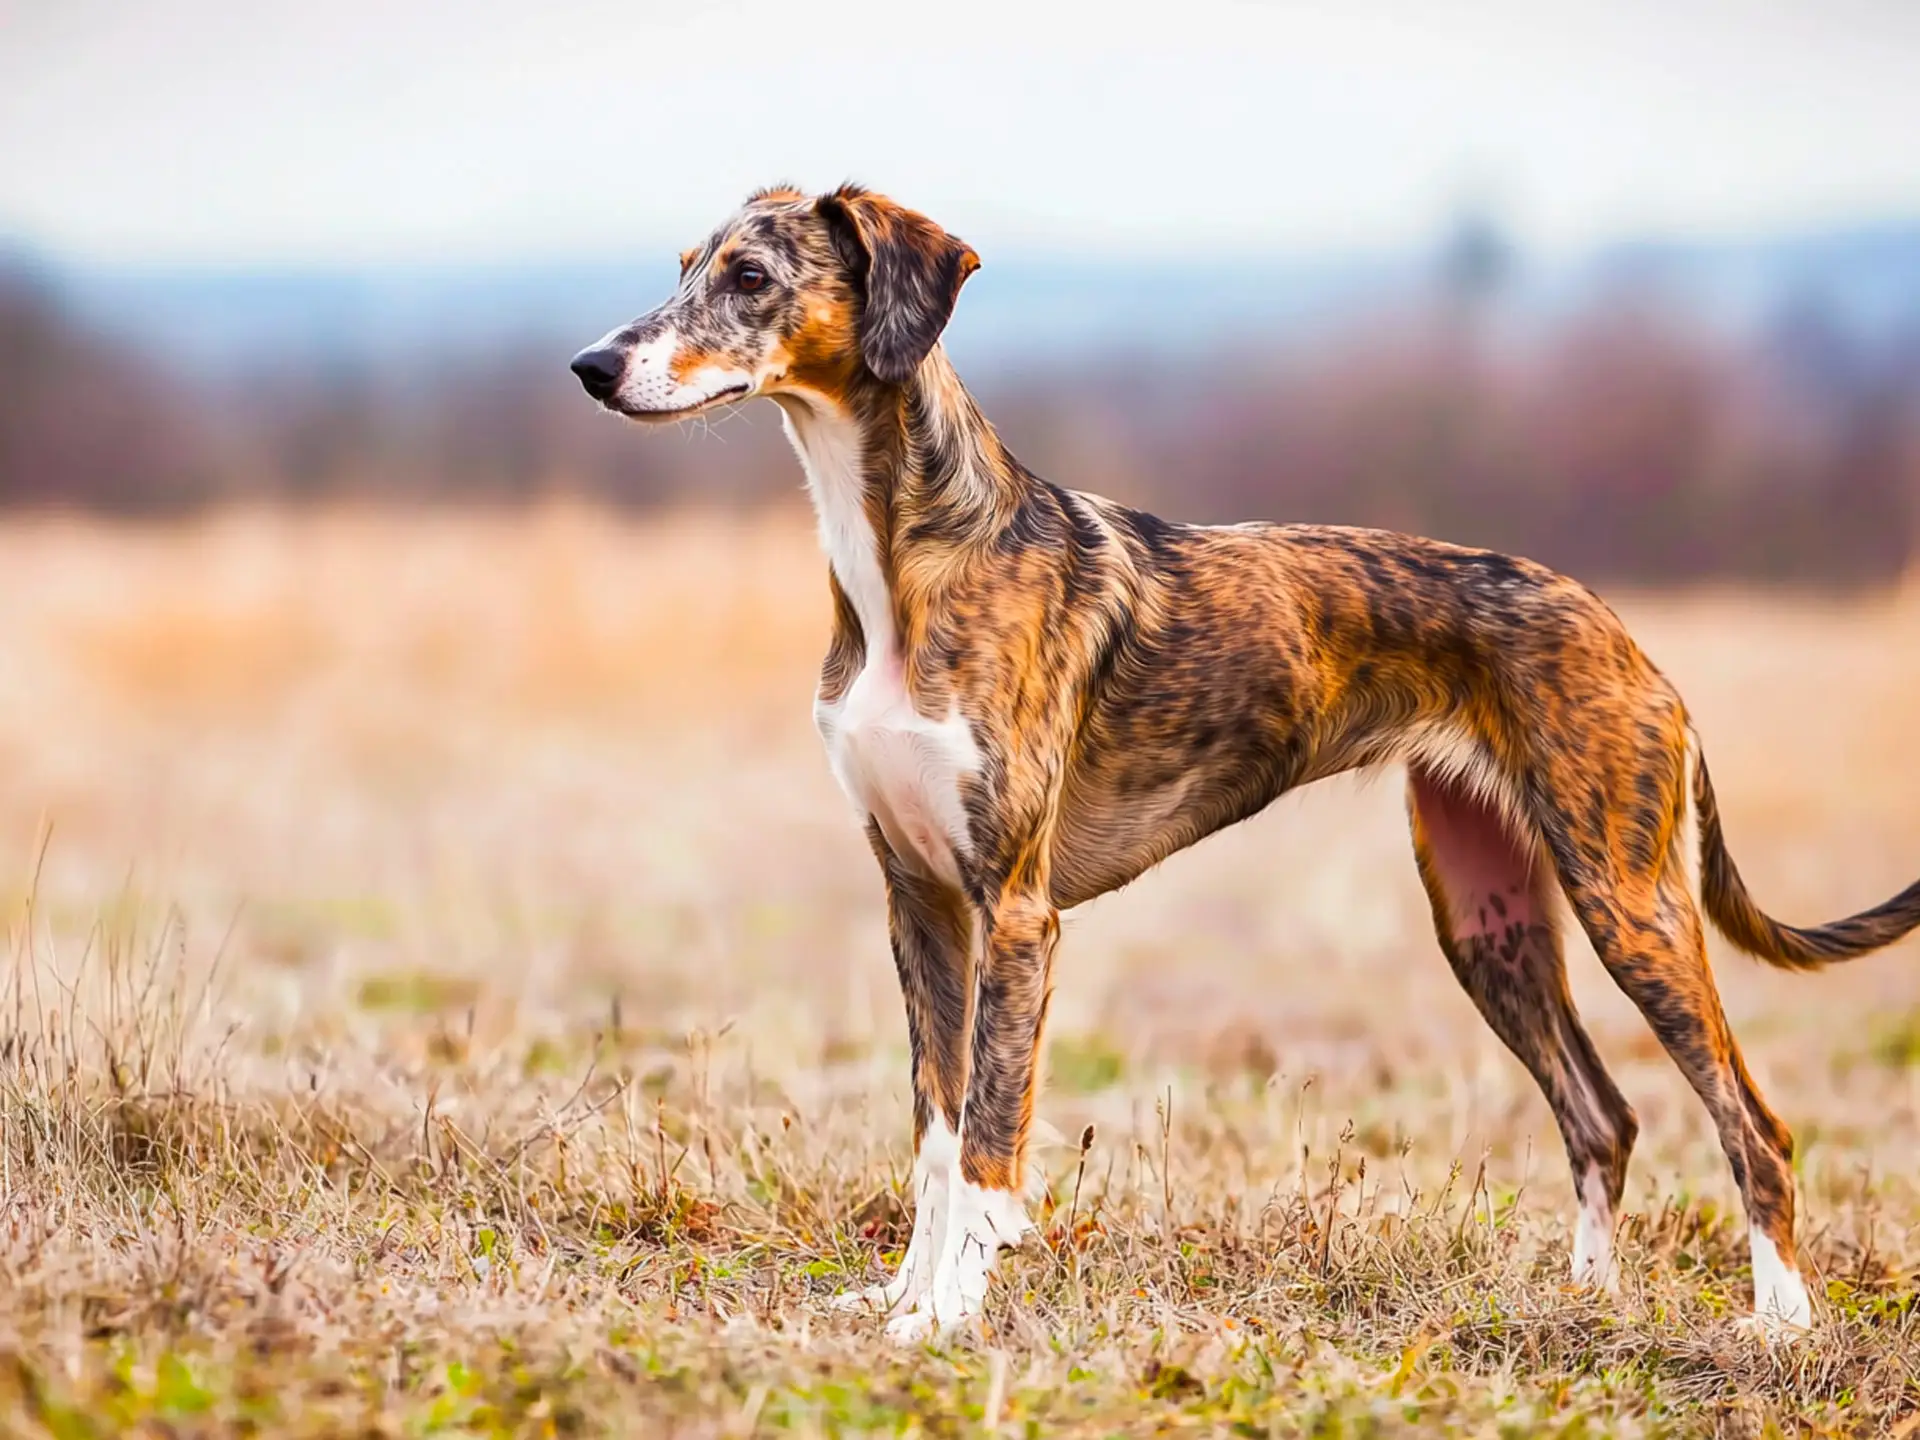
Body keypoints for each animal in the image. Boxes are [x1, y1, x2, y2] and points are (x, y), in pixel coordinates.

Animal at [568, 186, 1920, 1351]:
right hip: (1489, 919)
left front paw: (947, 1317)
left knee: (1755, 1124)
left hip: (1630, 902)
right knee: (1604, 1114)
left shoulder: (1016, 913)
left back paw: (1780, 1323)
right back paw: (1588, 1306)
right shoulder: (919, 901)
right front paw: (902, 1301)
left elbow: (992, 1149)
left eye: (750, 277)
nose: (591, 369)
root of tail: (1631, 639)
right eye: (684, 266)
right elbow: (937, 1137)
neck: (910, 563)